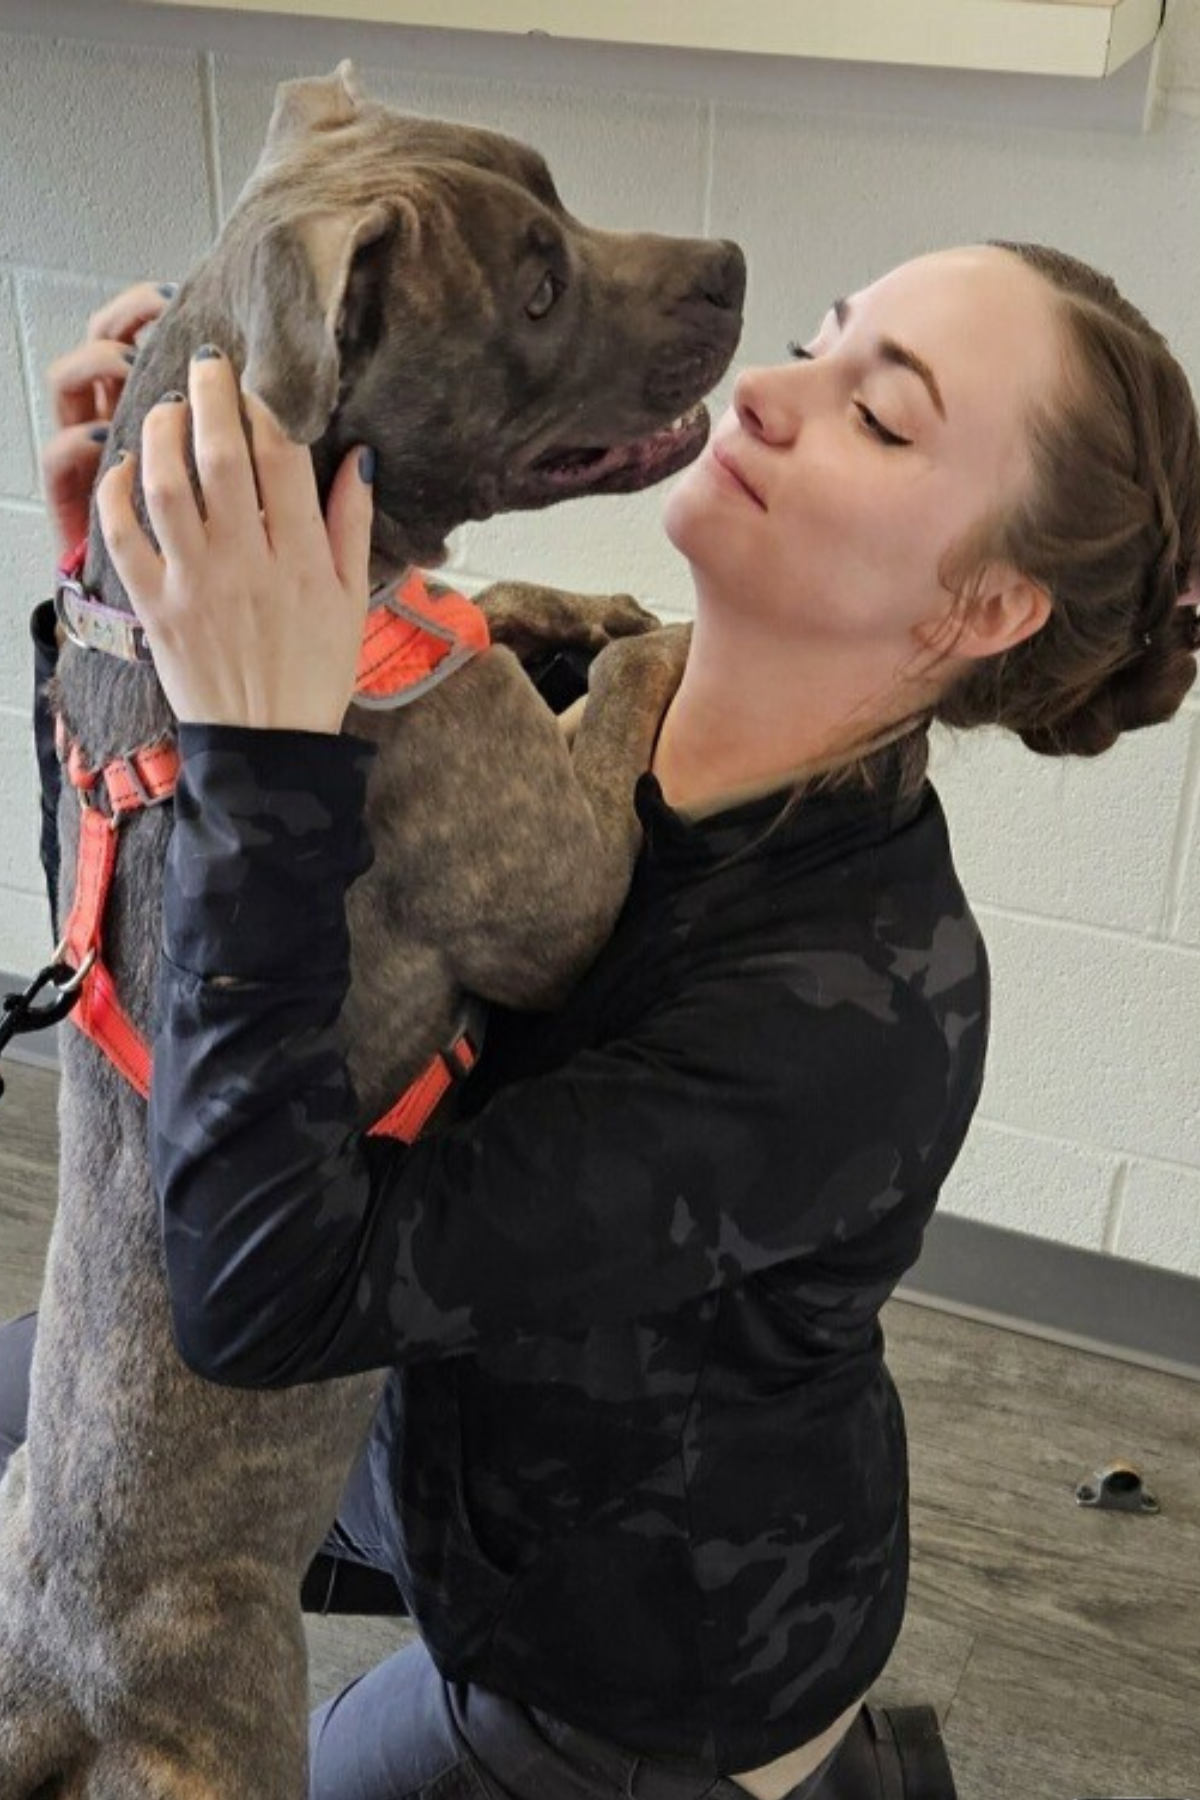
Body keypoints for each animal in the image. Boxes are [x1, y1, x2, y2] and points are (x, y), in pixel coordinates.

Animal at [0, 59, 741, 1800]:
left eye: (564, 200)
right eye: (535, 291)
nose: (737, 264)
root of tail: (51, 1681)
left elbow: (506, 609)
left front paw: (572, 606)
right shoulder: (555, 866)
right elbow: (622, 710)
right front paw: (668, 636)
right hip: (229, 1726)